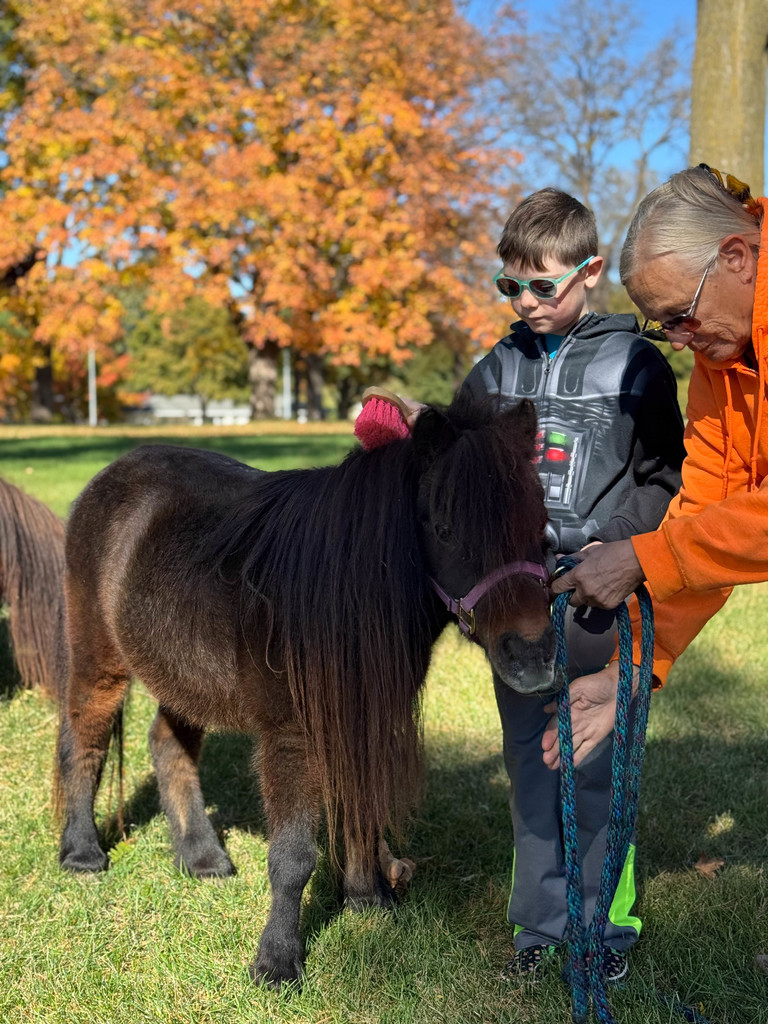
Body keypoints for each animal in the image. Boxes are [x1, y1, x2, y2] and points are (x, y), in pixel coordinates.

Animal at [56, 392, 557, 989]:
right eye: (445, 528)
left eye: (543, 526)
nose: (534, 657)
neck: (337, 595)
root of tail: (111, 475)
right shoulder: (292, 737)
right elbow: (293, 856)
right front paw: (276, 963)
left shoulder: (359, 720)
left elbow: (361, 811)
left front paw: (368, 900)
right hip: (98, 657)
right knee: (83, 738)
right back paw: (82, 855)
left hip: (182, 674)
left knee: (167, 744)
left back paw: (203, 859)